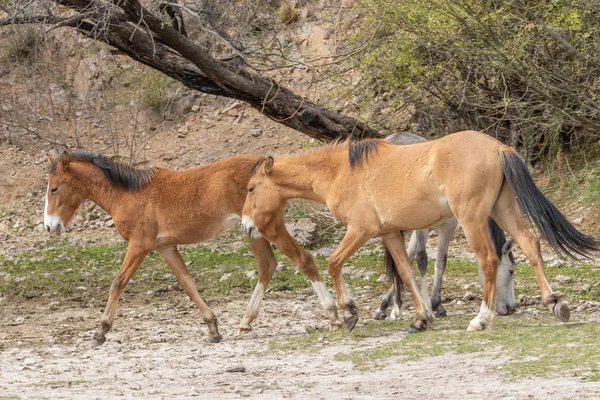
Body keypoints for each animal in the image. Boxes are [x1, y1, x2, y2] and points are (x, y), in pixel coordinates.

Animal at [44, 152, 340, 346]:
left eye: (54, 188)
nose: (49, 226)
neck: (128, 194)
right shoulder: (165, 247)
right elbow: (188, 284)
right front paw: (213, 328)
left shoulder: (140, 244)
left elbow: (118, 282)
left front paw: (100, 332)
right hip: (254, 231)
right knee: (267, 265)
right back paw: (245, 322)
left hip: (268, 227)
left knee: (302, 259)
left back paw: (334, 316)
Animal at [241, 130, 596, 332]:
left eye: (251, 188)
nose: (246, 226)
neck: (342, 171)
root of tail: (498, 148)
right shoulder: (389, 233)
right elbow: (406, 272)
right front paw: (421, 318)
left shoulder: (360, 230)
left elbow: (334, 263)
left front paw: (350, 313)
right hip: (503, 210)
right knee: (530, 244)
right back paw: (554, 303)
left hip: (471, 219)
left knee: (488, 260)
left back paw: (482, 319)